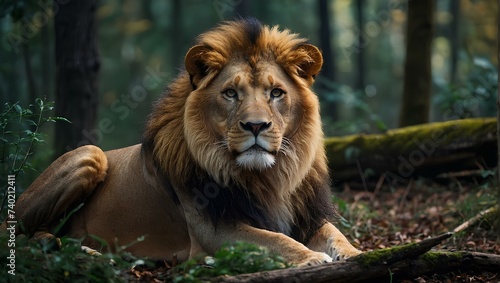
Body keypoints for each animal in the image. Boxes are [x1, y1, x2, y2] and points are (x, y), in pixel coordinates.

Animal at [0, 18, 360, 268]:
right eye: (231, 93)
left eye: (276, 93)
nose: (255, 125)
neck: (269, 178)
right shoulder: (215, 231)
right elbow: (275, 239)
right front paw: (310, 257)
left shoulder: (305, 215)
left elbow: (336, 234)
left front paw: (357, 254)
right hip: (90, 155)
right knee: (20, 234)